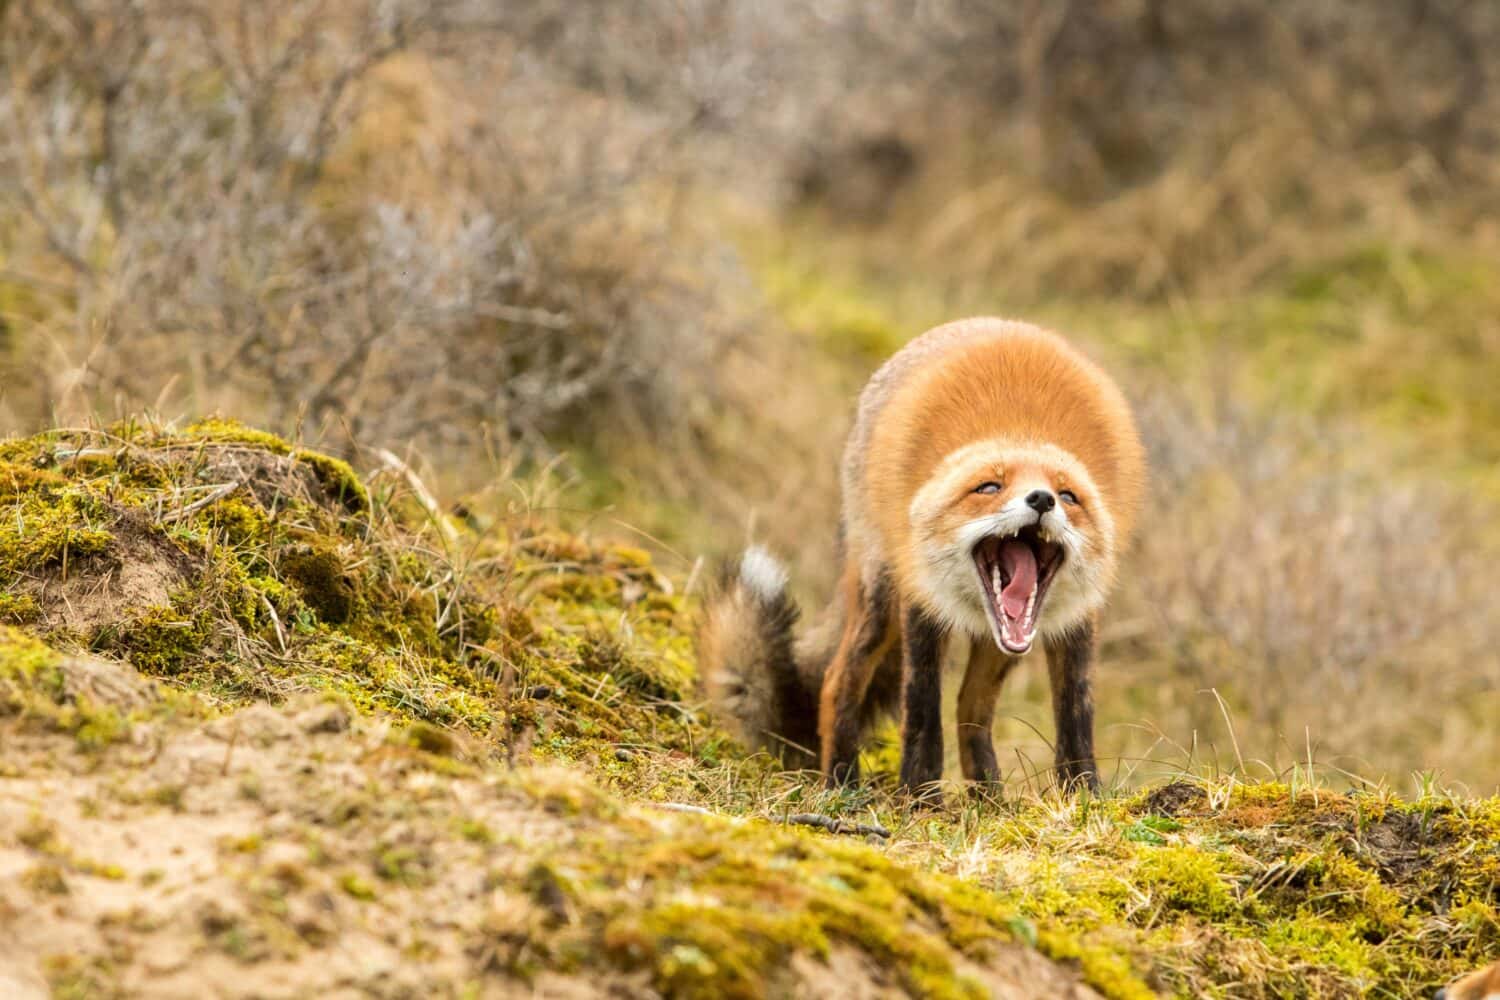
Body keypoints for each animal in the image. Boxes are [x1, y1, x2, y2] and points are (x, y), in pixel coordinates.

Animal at [696, 314, 1140, 797]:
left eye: (1069, 496)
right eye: (989, 487)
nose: (1042, 499)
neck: (1022, 429)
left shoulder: (1076, 617)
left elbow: (1076, 714)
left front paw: (1084, 793)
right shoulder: (921, 599)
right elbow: (922, 709)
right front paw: (919, 796)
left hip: (996, 646)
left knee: (971, 707)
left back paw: (991, 799)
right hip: (879, 598)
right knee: (837, 682)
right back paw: (842, 783)